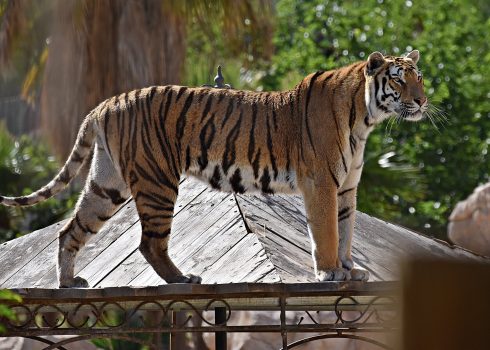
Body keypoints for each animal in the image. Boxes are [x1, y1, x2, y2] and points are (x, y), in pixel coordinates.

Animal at [0, 50, 424, 288]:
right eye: (399, 81)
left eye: (419, 78)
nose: (422, 101)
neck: (365, 117)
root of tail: (105, 103)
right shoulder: (321, 183)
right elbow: (328, 234)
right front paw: (332, 272)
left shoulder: (346, 188)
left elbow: (347, 231)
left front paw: (351, 270)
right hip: (157, 181)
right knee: (149, 242)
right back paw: (182, 279)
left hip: (108, 184)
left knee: (70, 230)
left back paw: (68, 283)